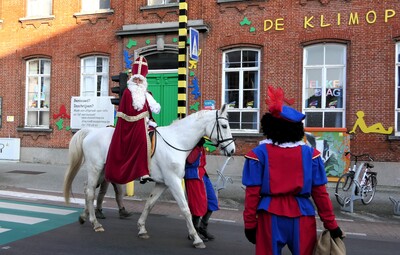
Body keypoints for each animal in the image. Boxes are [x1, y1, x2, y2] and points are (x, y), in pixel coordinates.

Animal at [63, 104, 234, 249]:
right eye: (224, 126)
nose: (232, 150)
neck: (177, 141)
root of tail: (91, 132)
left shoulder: (162, 183)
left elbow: (149, 204)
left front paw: (142, 229)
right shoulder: (173, 181)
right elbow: (185, 208)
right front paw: (196, 238)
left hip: (103, 172)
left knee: (88, 190)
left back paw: (84, 216)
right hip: (95, 169)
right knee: (90, 192)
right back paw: (95, 223)